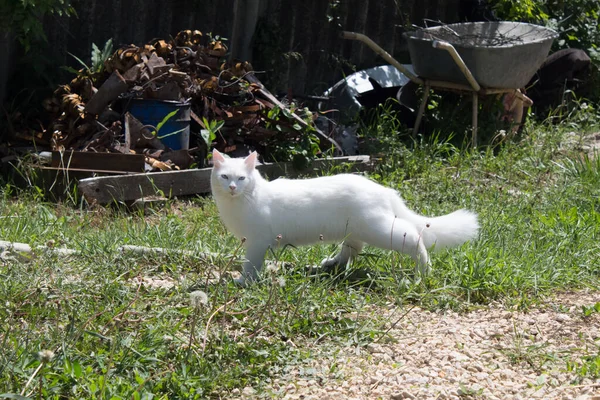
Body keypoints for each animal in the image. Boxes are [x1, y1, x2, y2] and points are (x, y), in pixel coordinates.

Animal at [211, 149, 478, 284]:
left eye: (241, 178)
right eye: (225, 177)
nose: (232, 187)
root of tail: (383, 189)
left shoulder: (256, 243)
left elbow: (250, 265)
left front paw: (243, 282)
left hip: (379, 230)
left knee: (414, 237)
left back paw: (422, 273)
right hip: (355, 230)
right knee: (353, 249)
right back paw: (331, 264)